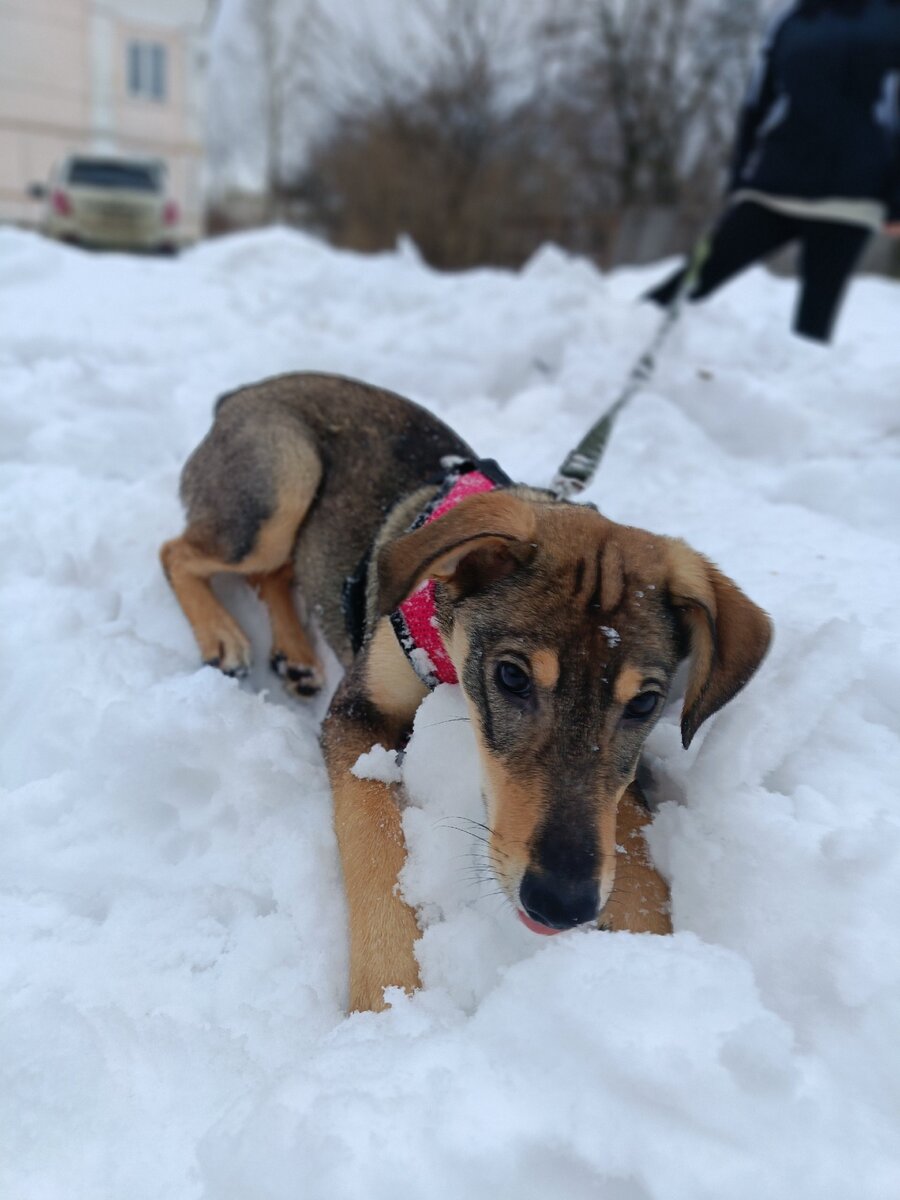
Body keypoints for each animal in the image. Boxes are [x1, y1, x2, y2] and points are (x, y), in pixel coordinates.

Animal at [162, 372, 777, 1012]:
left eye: (645, 703)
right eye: (511, 677)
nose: (561, 905)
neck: (449, 646)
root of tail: (245, 390)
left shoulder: (619, 776)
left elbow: (628, 829)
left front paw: (657, 955)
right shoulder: (358, 715)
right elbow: (372, 841)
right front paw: (386, 998)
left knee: (277, 572)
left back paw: (296, 657)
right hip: (279, 486)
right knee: (182, 552)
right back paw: (222, 636)